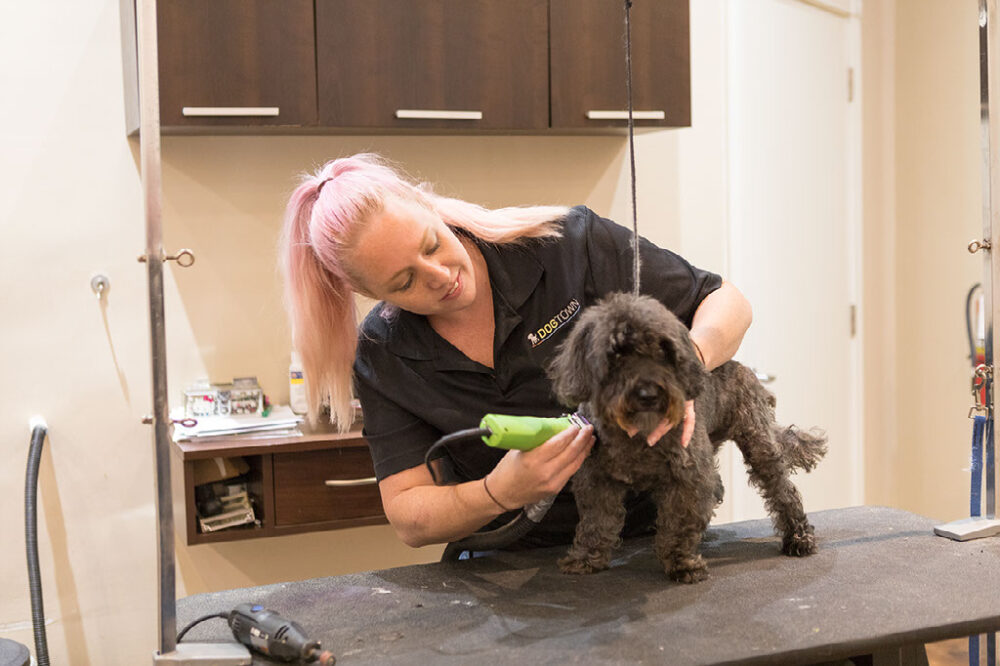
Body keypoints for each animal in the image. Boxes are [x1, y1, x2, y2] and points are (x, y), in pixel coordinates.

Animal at [548, 292, 828, 580]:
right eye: (616, 353)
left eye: (663, 350)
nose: (649, 394)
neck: (638, 433)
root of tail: (743, 368)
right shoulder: (596, 480)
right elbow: (596, 522)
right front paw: (586, 558)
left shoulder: (687, 477)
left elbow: (679, 523)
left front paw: (682, 562)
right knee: (717, 486)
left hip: (759, 446)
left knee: (784, 492)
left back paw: (799, 538)